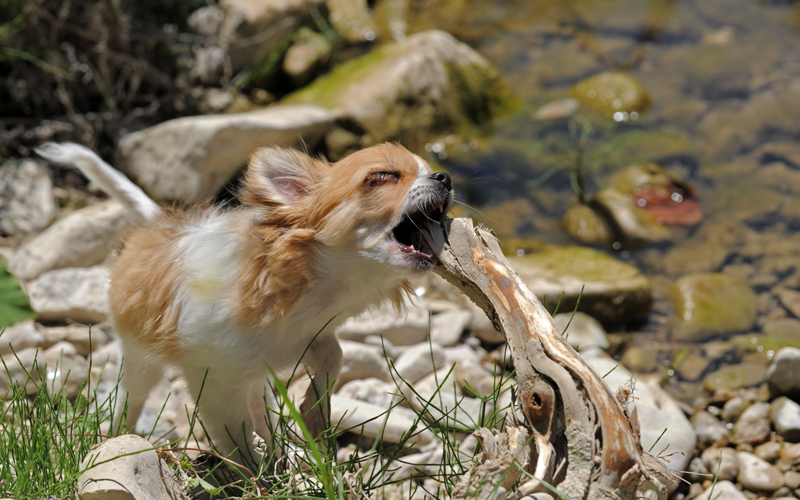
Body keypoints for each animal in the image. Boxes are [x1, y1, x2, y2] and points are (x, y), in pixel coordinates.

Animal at [36, 143, 450, 466]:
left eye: (429, 170)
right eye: (384, 176)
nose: (444, 177)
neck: (308, 293)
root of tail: (158, 222)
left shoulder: (310, 336)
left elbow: (334, 357)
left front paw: (313, 411)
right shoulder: (215, 380)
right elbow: (235, 435)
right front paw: (256, 476)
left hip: (253, 378)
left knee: (259, 405)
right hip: (141, 359)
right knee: (131, 398)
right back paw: (119, 437)